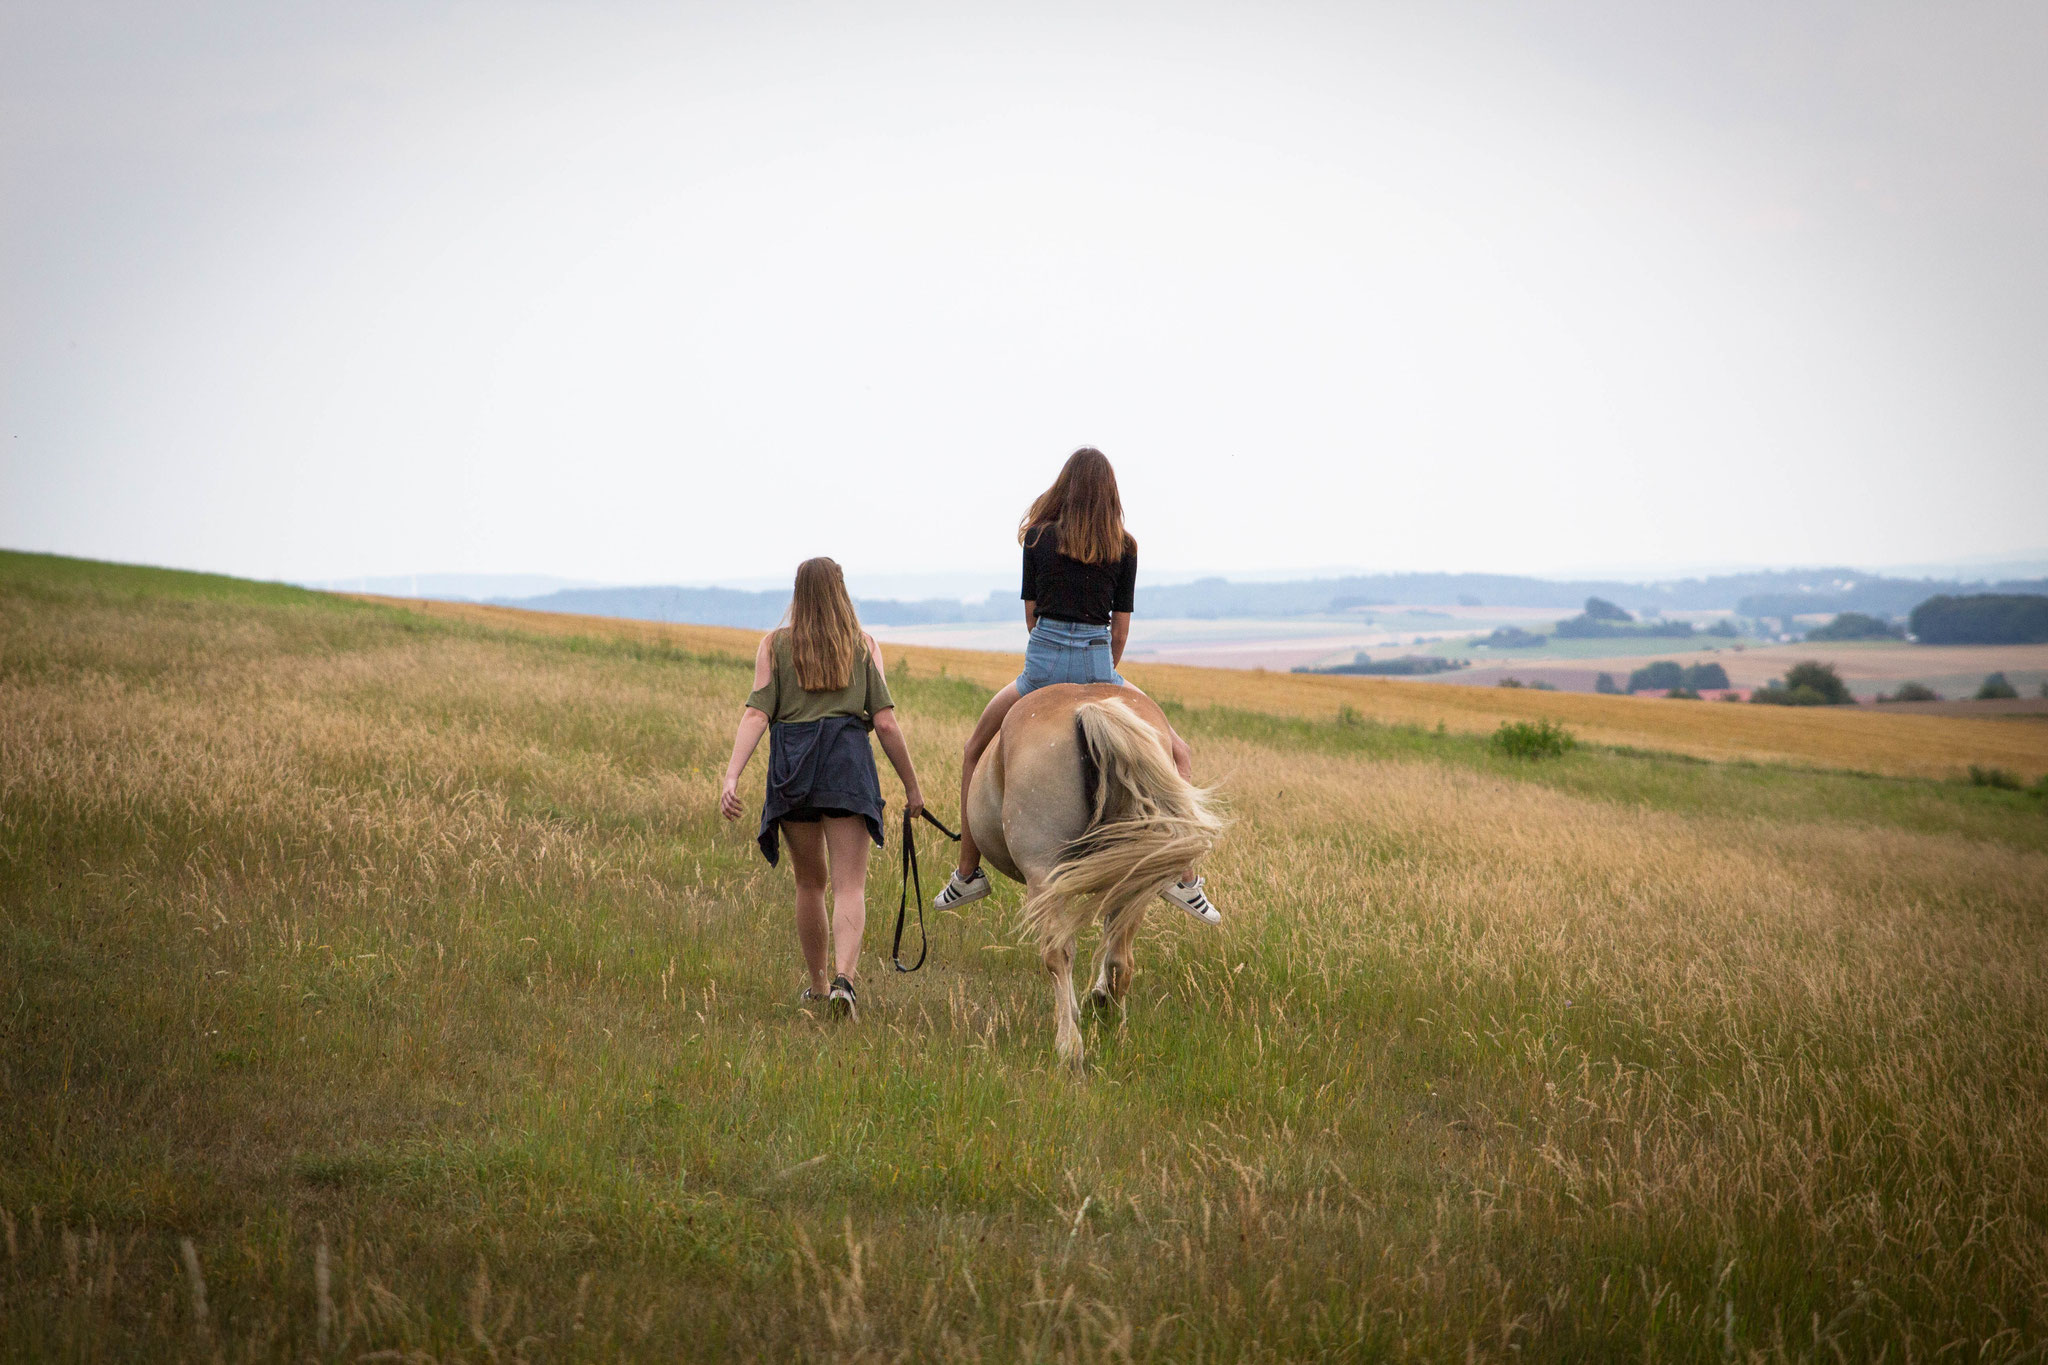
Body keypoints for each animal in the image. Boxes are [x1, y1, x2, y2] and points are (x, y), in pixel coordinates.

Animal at [966, 683, 1220, 1064]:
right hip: (1135, 873)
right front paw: (1097, 1001)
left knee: (1059, 953)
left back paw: (1070, 1045)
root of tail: (1089, 709)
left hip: (1046, 876)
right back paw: (1113, 1022)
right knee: (1119, 959)